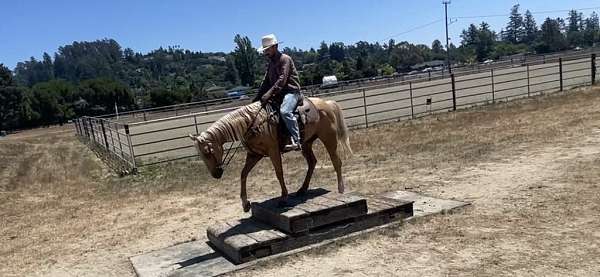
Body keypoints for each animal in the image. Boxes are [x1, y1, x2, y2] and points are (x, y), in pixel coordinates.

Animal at [189, 97, 352, 211]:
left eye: (207, 152)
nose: (216, 174)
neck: (251, 123)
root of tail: (327, 103)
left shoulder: (273, 151)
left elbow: (279, 173)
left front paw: (283, 198)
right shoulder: (254, 155)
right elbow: (243, 174)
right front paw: (245, 204)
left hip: (328, 138)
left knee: (336, 160)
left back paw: (340, 189)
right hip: (306, 143)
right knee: (312, 162)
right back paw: (302, 190)